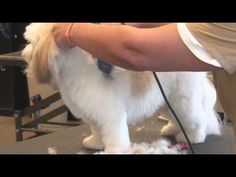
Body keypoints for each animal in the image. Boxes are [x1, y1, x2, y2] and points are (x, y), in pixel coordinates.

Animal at [22, 23, 221, 153]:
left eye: (30, 42)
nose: (23, 53)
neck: (78, 71)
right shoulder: (94, 115)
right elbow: (97, 131)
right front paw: (95, 143)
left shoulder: (111, 116)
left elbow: (114, 136)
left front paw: (114, 150)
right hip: (167, 100)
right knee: (175, 117)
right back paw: (172, 129)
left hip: (183, 99)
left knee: (196, 119)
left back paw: (194, 136)